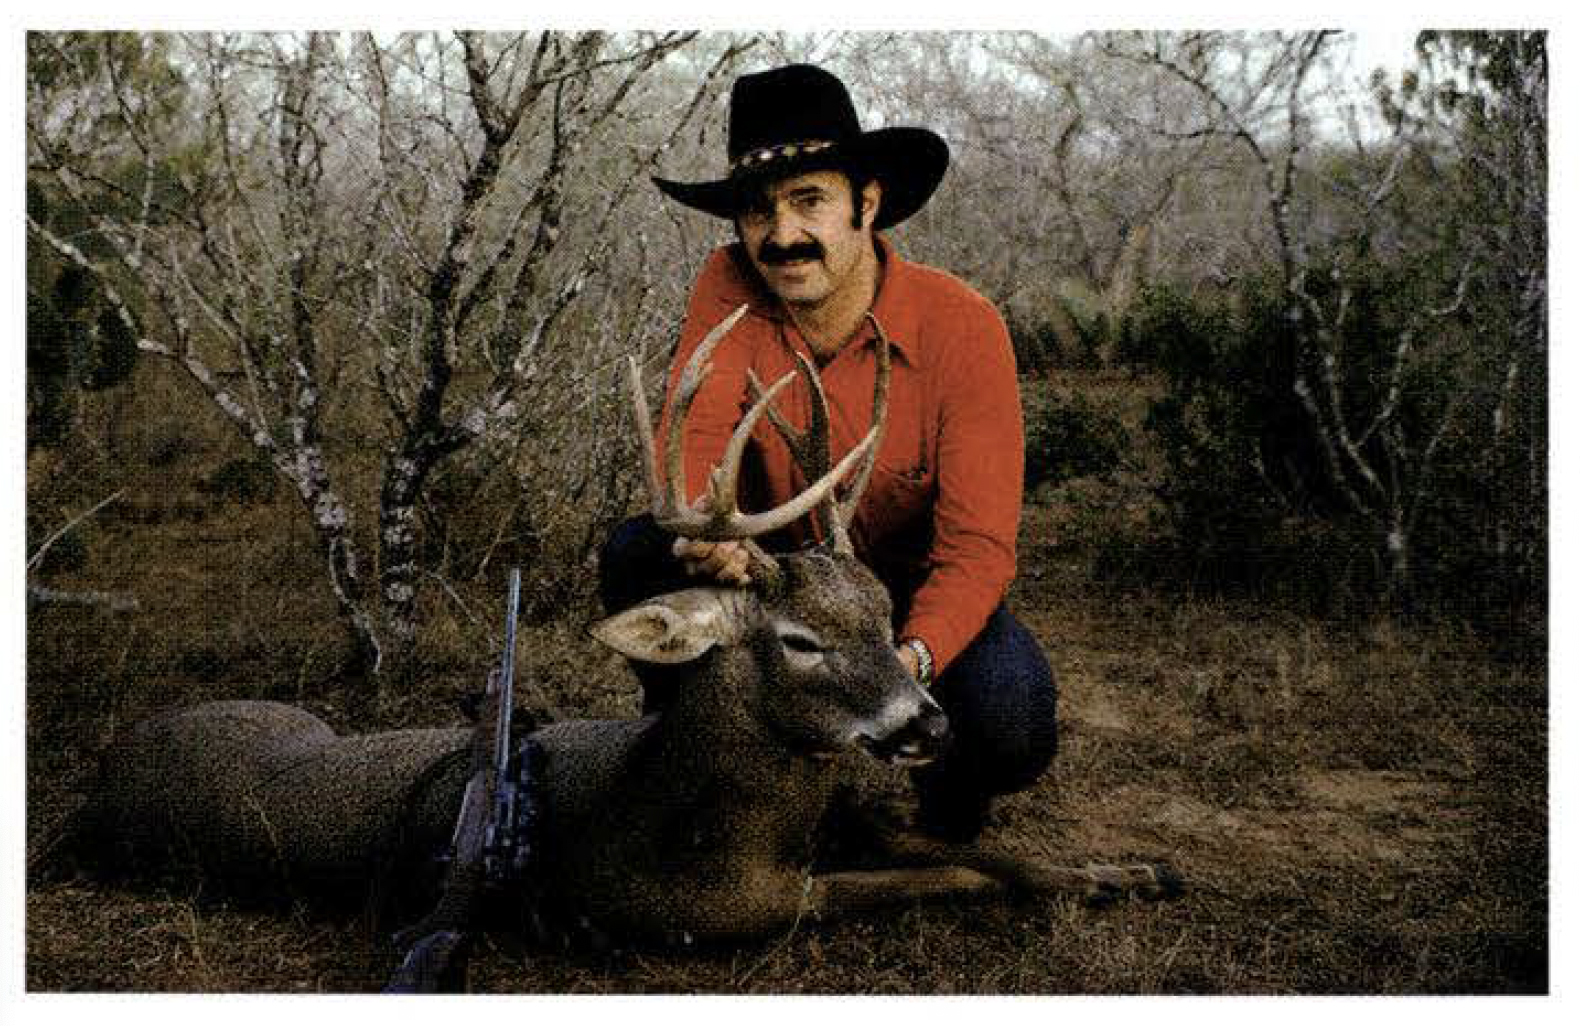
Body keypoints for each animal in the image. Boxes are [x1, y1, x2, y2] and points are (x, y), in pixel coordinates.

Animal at [80, 306, 1181, 954]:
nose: (928, 723)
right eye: (799, 640)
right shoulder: (738, 910)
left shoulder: (848, 816)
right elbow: (944, 875)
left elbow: (1000, 858)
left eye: (884, 613)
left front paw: (1129, 870)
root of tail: (103, 773)